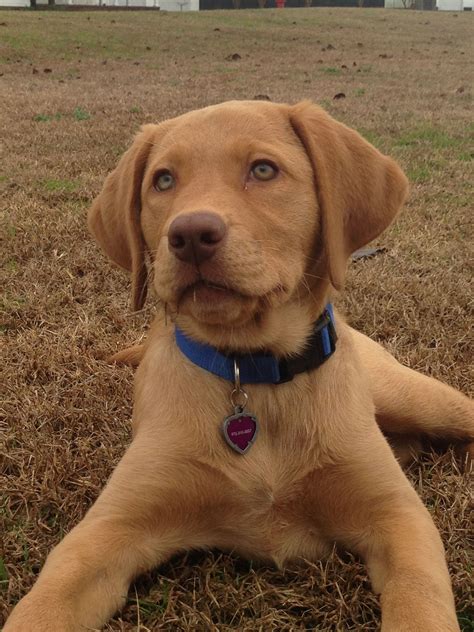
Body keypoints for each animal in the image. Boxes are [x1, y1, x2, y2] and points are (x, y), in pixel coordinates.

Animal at [5, 101, 472, 628]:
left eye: (263, 170)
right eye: (163, 180)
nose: (189, 235)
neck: (250, 371)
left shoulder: (398, 515)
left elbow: (420, 596)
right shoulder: (109, 527)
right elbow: (45, 603)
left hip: (415, 397)